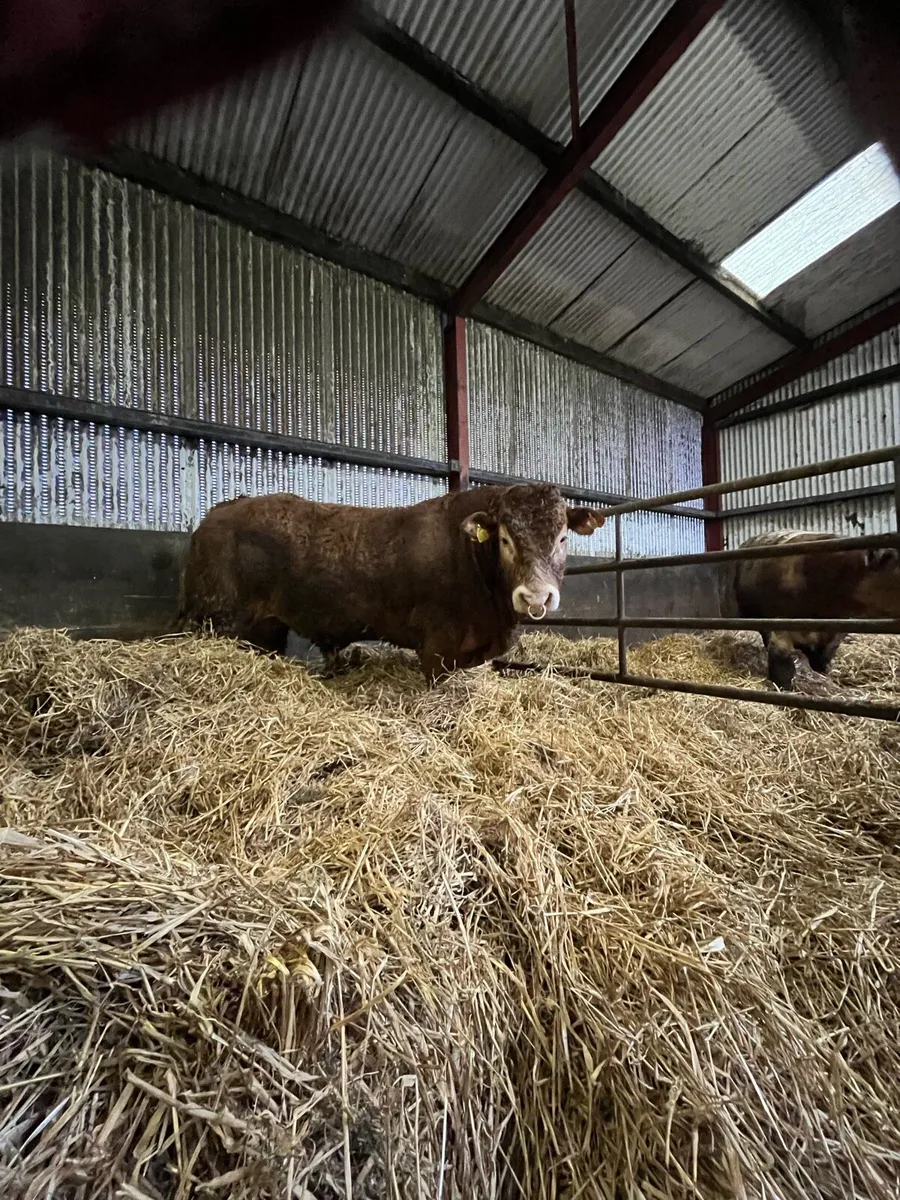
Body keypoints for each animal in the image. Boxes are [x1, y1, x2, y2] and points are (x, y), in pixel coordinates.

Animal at [179, 483, 605, 684]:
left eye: (562, 537)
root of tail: (218, 513)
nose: (536, 596)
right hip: (216, 618)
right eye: (504, 539)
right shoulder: (437, 647)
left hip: (266, 628)